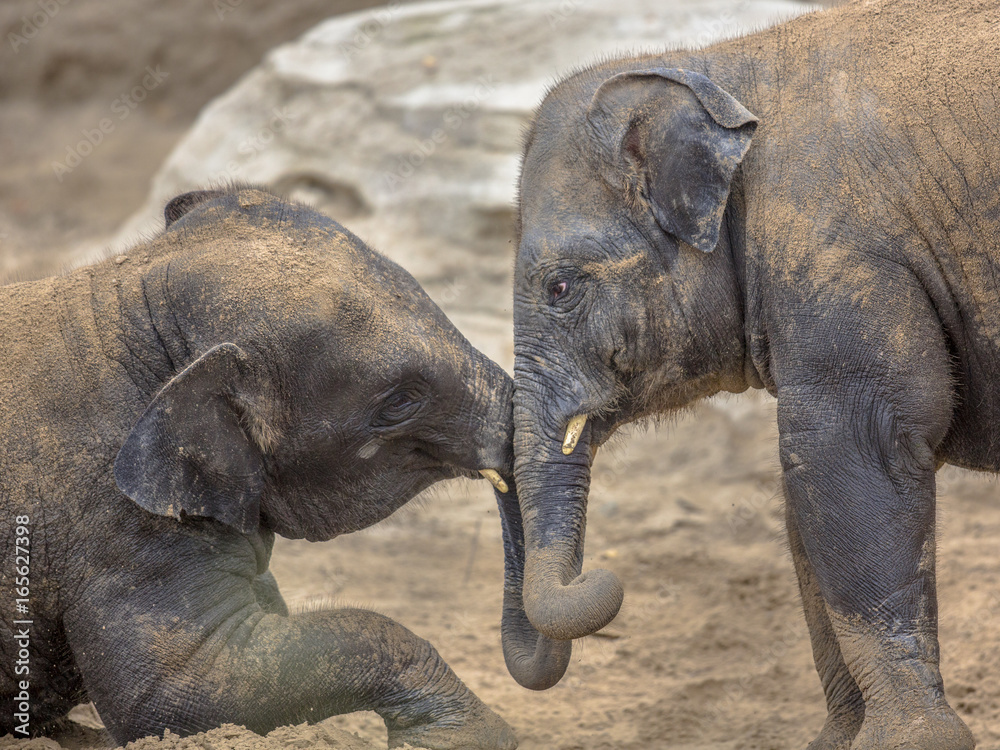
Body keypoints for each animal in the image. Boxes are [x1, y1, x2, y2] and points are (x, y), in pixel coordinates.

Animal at [509, 1, 998, 747]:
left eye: (560, 288)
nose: (607, 579)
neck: (719, 70)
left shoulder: (842, 257)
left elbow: (852, 456)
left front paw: (911, 741)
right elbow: (807, 502)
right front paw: (839, 742)